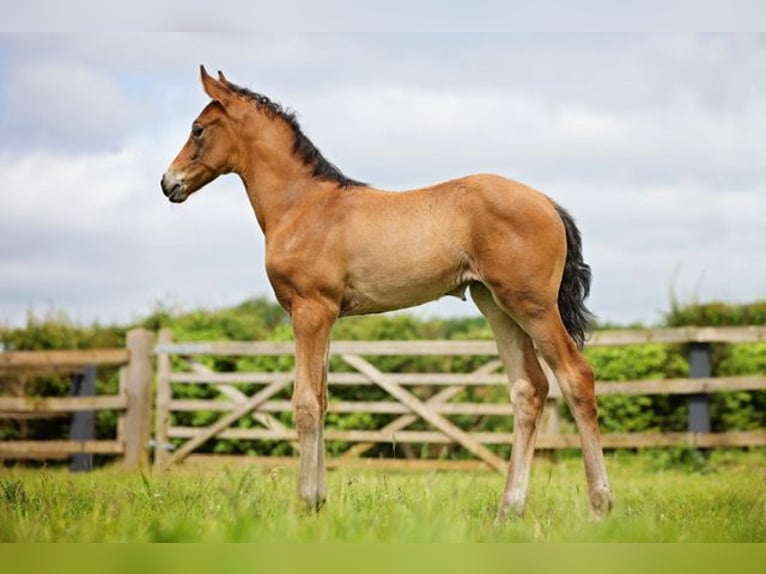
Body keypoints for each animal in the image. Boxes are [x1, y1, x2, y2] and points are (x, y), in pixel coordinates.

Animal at [160, 67, 612, 520]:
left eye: (198, 129)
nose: (168, 183)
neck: (303, 206)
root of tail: (549, 204)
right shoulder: (326, 315)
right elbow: (323, 400)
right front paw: (319, 500)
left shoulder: (309, 310)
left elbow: (305, 404)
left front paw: (303, 504)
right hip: (497, 306)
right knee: (528, 389)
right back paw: (509, 510)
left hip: (533, 306)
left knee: (576, 377)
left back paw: (599, 505)